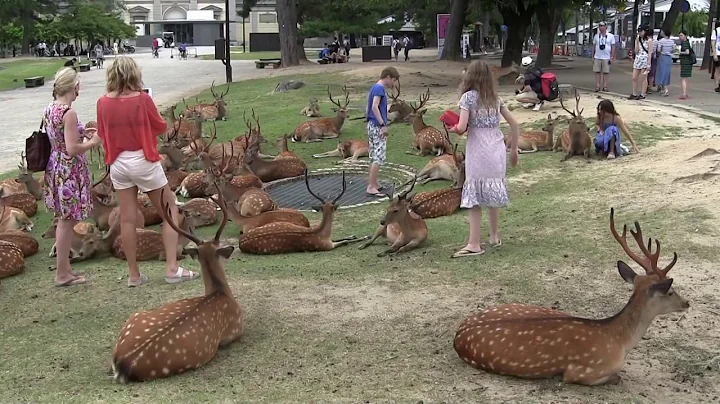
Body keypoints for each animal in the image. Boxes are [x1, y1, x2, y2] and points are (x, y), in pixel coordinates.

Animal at [456, 208, 692, 386]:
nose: (687, 303)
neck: (620, 342)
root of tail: (458, 333)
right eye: (670, 291)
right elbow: (617, 377)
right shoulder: (579, 371)